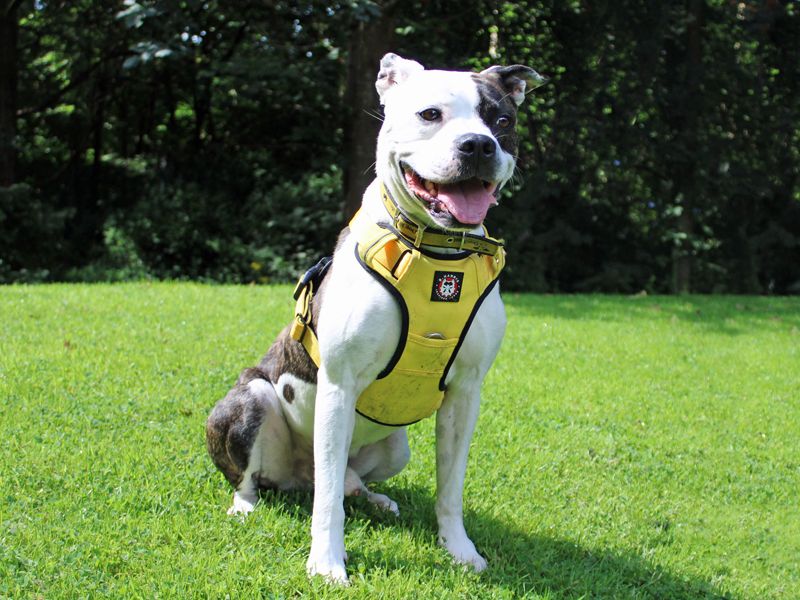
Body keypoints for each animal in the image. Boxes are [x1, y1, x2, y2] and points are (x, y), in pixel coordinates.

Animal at [203, 54, 548, 584]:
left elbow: (450, 487)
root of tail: (296, 478)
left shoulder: (466, 394)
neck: (435, 253)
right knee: (269, 478)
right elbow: (328, 504)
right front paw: (326, 562)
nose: (478, 144)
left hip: (396, 446)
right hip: (250, 399)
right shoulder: (339, 386)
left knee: (343, 481)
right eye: (430, 114)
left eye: (502, 120)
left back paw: (373, 497)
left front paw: (458, 548)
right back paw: (247, 504)